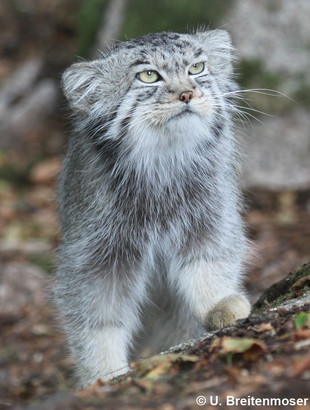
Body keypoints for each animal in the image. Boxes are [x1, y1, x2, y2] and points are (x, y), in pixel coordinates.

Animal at [54, 30, 251, 390]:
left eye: (197, 68)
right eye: (148, 76)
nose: (188, 93)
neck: (163, 166)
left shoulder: (211, 217)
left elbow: (209, 263)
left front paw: (218, 302)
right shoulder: (92, 256)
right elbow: (96, 320)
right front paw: (102, 374)